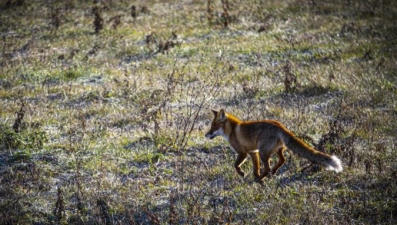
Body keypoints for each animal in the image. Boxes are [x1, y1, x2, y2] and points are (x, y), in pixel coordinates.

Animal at [206, 109, 342, 185]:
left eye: (213, 126)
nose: (205, 135)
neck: (232, 130)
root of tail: (280, 126)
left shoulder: (243, 153)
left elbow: (236, 165)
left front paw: (243, 174)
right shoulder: (253, 152)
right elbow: (255, 170)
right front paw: (259, 179)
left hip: (264, 153)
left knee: (267, 168)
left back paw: (261, 178)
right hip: (275, 150)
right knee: (282, 160)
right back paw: (271, 174)